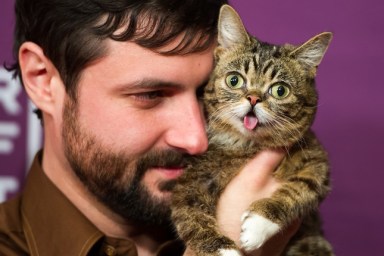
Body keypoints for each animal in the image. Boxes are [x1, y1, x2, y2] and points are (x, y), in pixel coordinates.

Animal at [171, 4, 332, 256]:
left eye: (280, 90)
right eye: (234, 80)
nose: (254, 99)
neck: (248, 146)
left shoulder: (317, 161)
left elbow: (301, 189)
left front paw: (259, 223)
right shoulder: (190, 181)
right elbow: (191, 216)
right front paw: (222, 249)